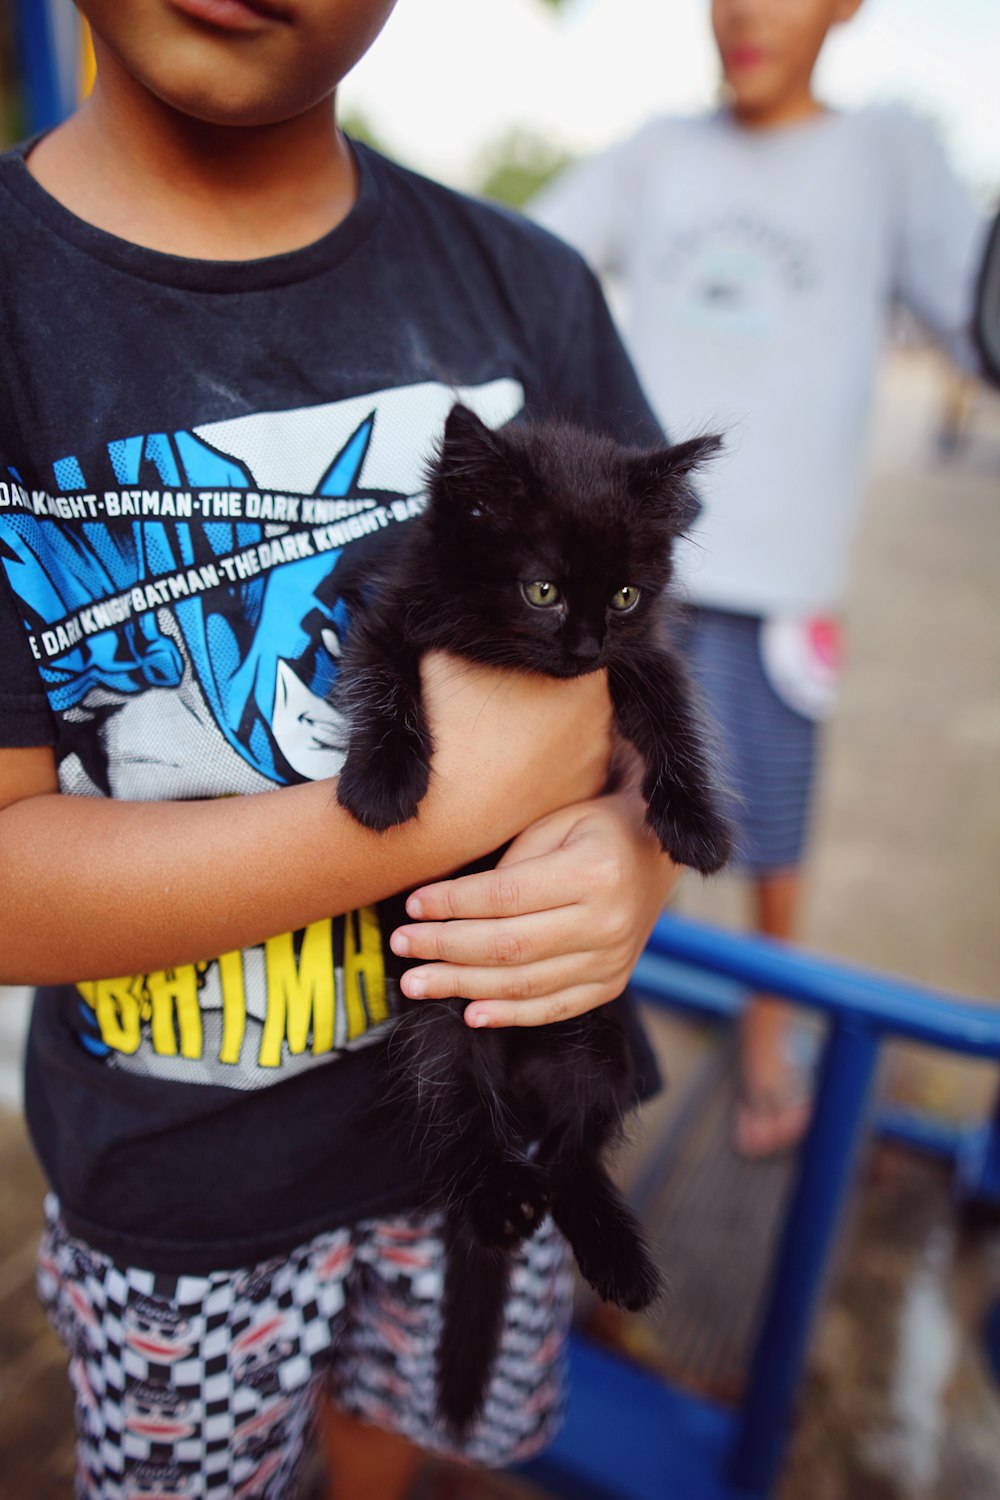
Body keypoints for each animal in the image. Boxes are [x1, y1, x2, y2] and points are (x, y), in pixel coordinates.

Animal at [332, 405, 731, 1434]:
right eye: (542, 590)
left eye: (624, 596)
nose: (584, 648)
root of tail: (515, 1066)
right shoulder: (393, 619)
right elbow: (384, 681)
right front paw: (381, 780)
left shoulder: (644, 654)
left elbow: (670, 703)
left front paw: (698, 824)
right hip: (441, 1026)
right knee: (466, 1123)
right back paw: (499, 1203)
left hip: (595, 1038)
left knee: (576, 1153)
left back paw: (616, 1257)